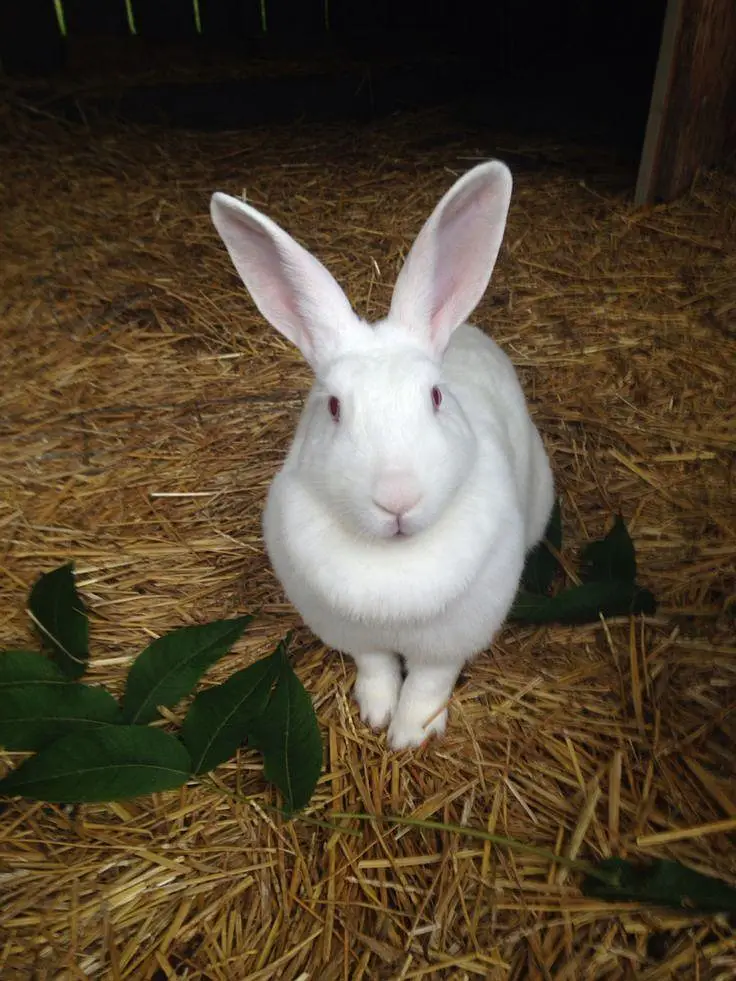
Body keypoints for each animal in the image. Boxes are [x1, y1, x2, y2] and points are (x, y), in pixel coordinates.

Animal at [210, 160, 554, 750]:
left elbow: (428, 683)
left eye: (435, 397)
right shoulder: (355, 635)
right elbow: (375, 668)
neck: (392, 564)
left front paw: (409, 735)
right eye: (333, 408)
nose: (397, 499)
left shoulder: (450, 642)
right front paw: (375, 713)